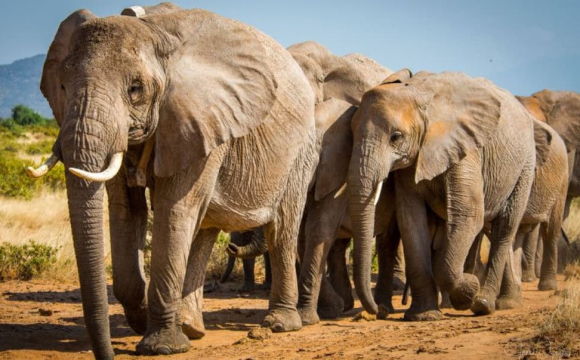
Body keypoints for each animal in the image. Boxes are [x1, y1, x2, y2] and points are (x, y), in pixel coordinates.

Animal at [27, 2, 318, 358]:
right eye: (62, 87)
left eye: (135, 89)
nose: (108, 354)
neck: (153, 32)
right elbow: (126, 211)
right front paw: (141, 319)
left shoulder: (203, 118)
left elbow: (172, 209)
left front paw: (161, 346)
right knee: (205, 227)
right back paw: (192, 326)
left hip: (301, 151)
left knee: (281, 229)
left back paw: (279, 324)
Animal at [346, 69, 536, 320]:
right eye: (351, 135)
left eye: (396, 137)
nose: (381, 312)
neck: (418, 94)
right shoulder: (411, 162)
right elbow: (411, 220)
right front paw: (424, 316)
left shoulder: (465, 148)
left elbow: (468, 213)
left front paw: (469, 289)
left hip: (525, 164)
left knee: (504, 227)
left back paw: (483, 304)